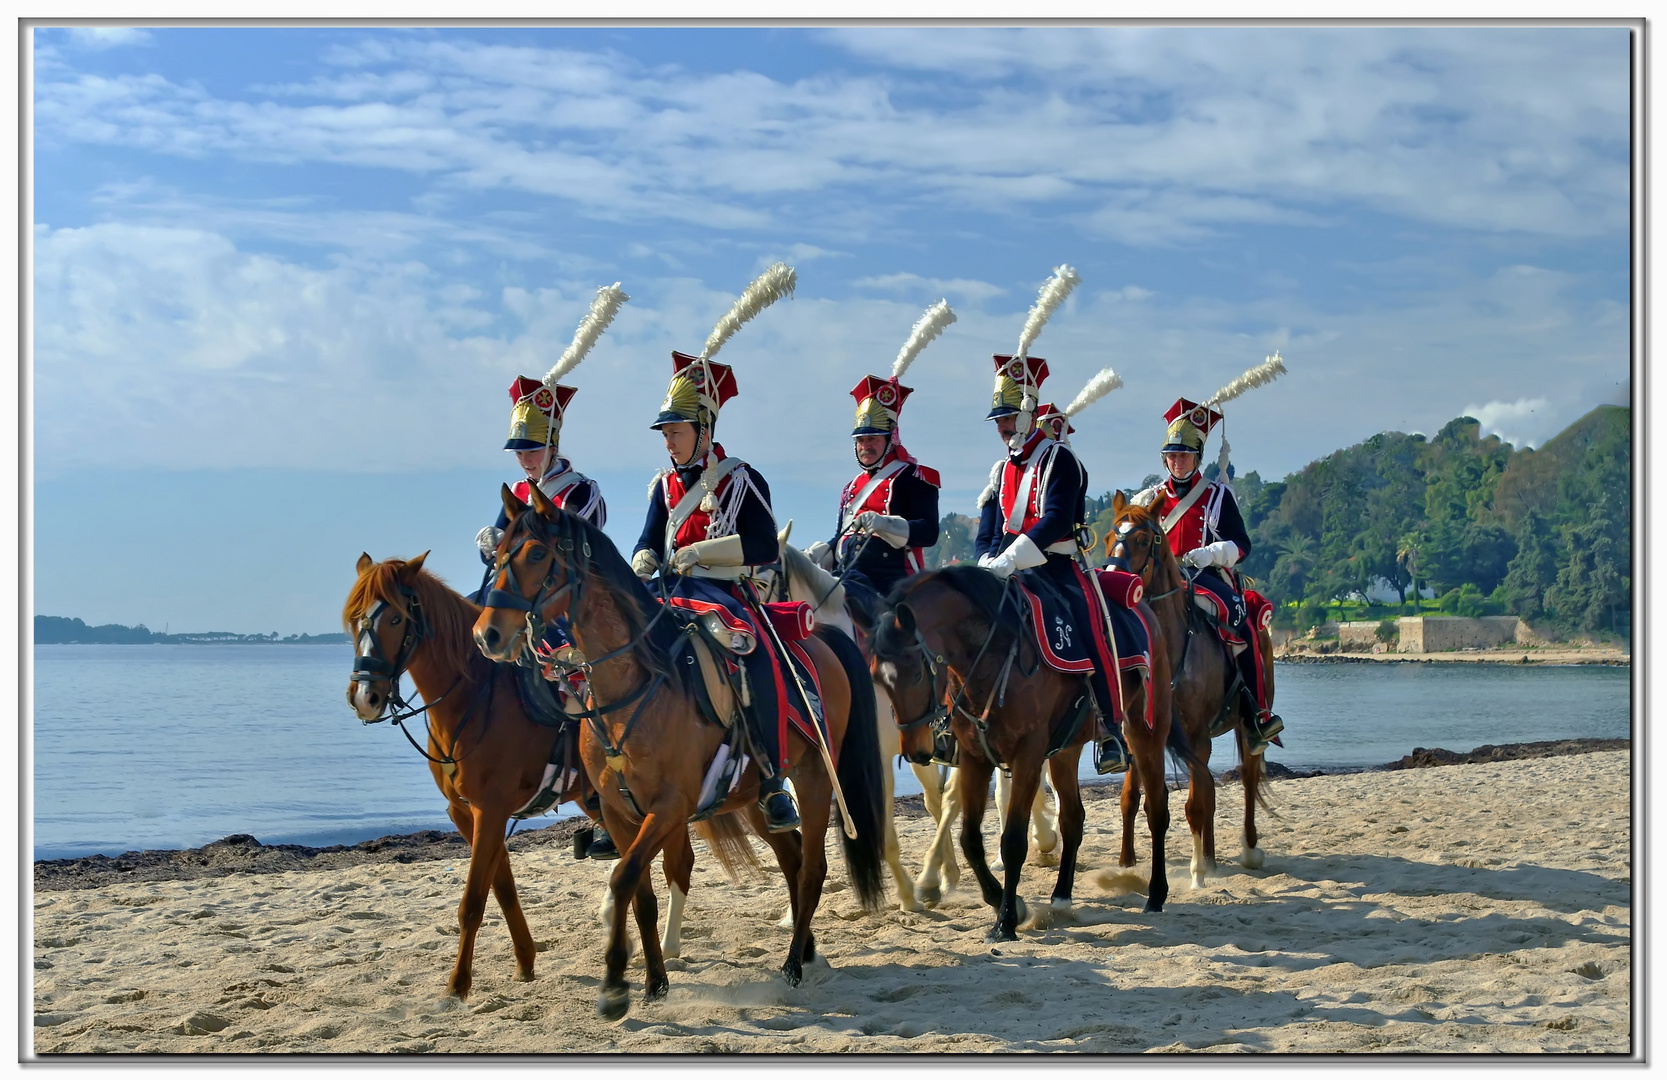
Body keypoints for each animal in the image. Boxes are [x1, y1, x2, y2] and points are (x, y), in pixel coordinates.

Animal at [343, 553, 723, 1000]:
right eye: (355, 620)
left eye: (395, 619)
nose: (364, 697)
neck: (476, 700)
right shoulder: (465, 812)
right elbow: (502, 887)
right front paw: (525, 961)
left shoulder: (489, 810)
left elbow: (474, 900)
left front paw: (457, 986)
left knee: (678, 863)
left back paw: (671, 948)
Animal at [470, 486, 886, 1020]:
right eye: (498, 555)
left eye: (538, 554)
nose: (488, 635)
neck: (633, 686)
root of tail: (823, 640)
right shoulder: (619, 813)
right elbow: (640, 893)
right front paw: (653, 983)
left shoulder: (670, 807)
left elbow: (623, 878)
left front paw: (614, 986)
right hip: (753, 798)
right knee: (792, 859)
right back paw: (807, 950)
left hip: (815, 779)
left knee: (813, 869)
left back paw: (794, 966)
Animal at [866, 566, 1180, 933]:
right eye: (877, 679)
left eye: (916, 674)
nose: (915, 750)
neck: (993, 656)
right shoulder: (974, 758)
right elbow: (970, 839)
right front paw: (1004, 901)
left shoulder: (1027, 756)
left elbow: (1013, 840)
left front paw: (1005, 922)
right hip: (1065, 751)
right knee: (1072, 817)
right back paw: (1061, 897)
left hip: (1145, 732)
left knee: (1157, 810)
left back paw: (1156, 895)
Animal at [1106, 493, 1273, 893]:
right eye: (1109, 536)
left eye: (1142, 539)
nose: (1112, 578)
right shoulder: (1140, 735)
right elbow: (1132, 798)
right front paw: (1126, 864)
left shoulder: (1196, 735)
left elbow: (1196, 804)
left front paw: (1196, 873)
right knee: (1210, 789)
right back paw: (1210, 857)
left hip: (1247, 724)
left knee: (1246, 778)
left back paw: (1246, 850)